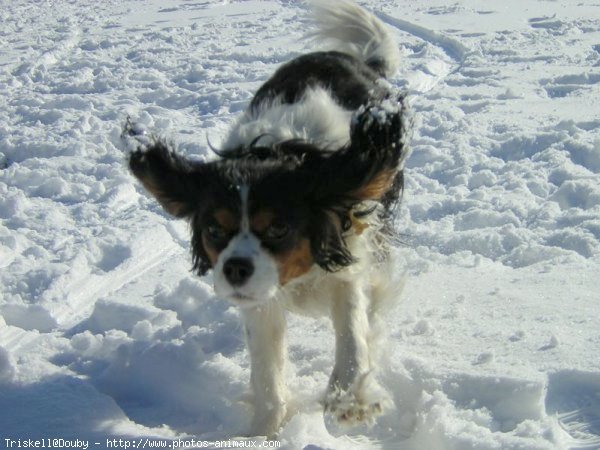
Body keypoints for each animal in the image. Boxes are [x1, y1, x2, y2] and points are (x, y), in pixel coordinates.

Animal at [126, 0, 408, 436]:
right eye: (214, 230)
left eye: (278, 227)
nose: (235, 269)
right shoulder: (261, 301)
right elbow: (266, 372)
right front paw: (264, 433)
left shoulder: (348, 255)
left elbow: (352, 331)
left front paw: (349, 399)